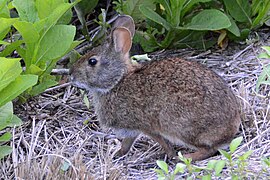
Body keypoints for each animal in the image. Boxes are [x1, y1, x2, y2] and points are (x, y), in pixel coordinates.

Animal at [69, 15, 240, 160]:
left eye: (92, 61)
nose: (71, 75)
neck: (117, 81)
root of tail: (229, 131)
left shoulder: (145, 126)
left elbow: (161, 141)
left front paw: (170, 155)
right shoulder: (131, 130)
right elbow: (127, 143)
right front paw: (117, 154)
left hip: (180, 126)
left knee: (209, 149)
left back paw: (187, 157)